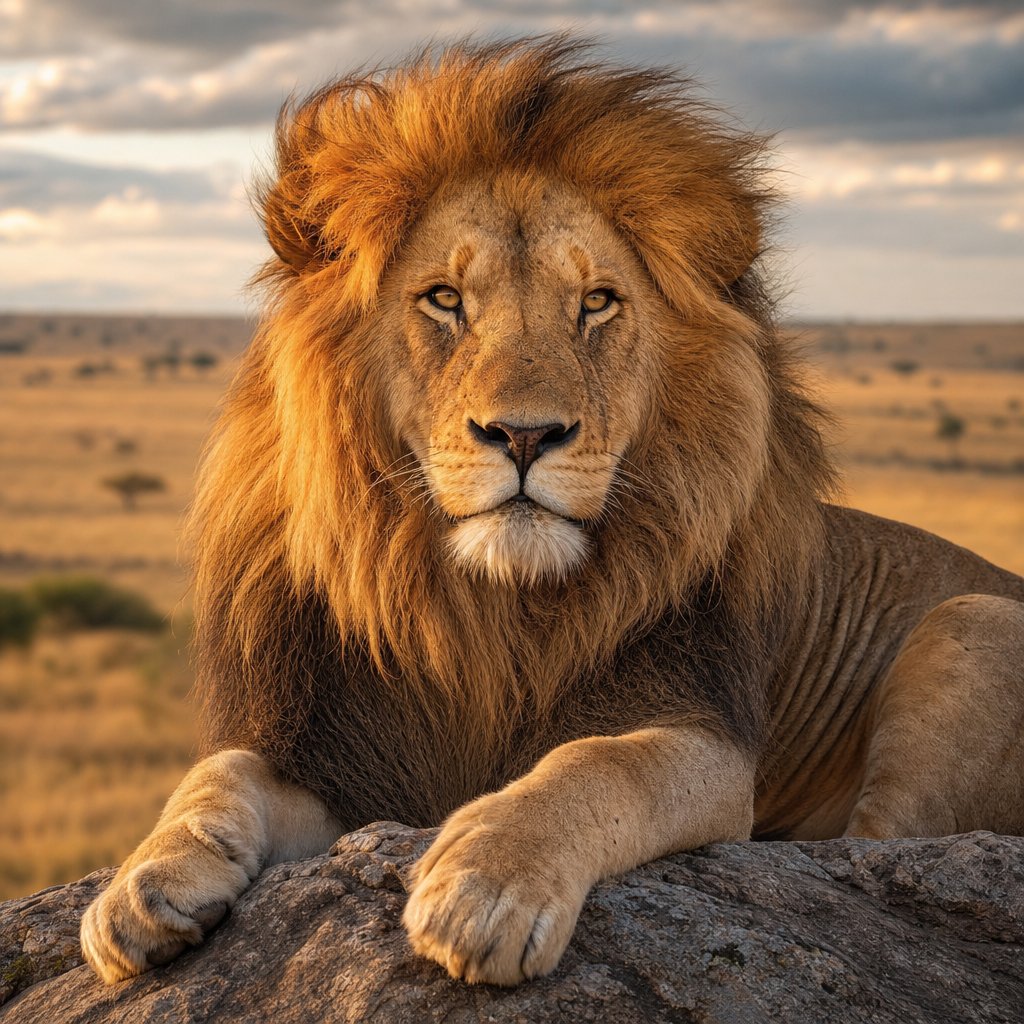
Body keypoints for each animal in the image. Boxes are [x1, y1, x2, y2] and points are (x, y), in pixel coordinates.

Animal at [80, 37, 1024, 987]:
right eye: (445, 300)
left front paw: (486, 885)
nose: (525, 434)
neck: (489, 612)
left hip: (975, 623)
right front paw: (142, 883)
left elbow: (595, 766)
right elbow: (218, 775)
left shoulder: (708, 745)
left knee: (876, 853)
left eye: (597, 302)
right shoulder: (342, 762)